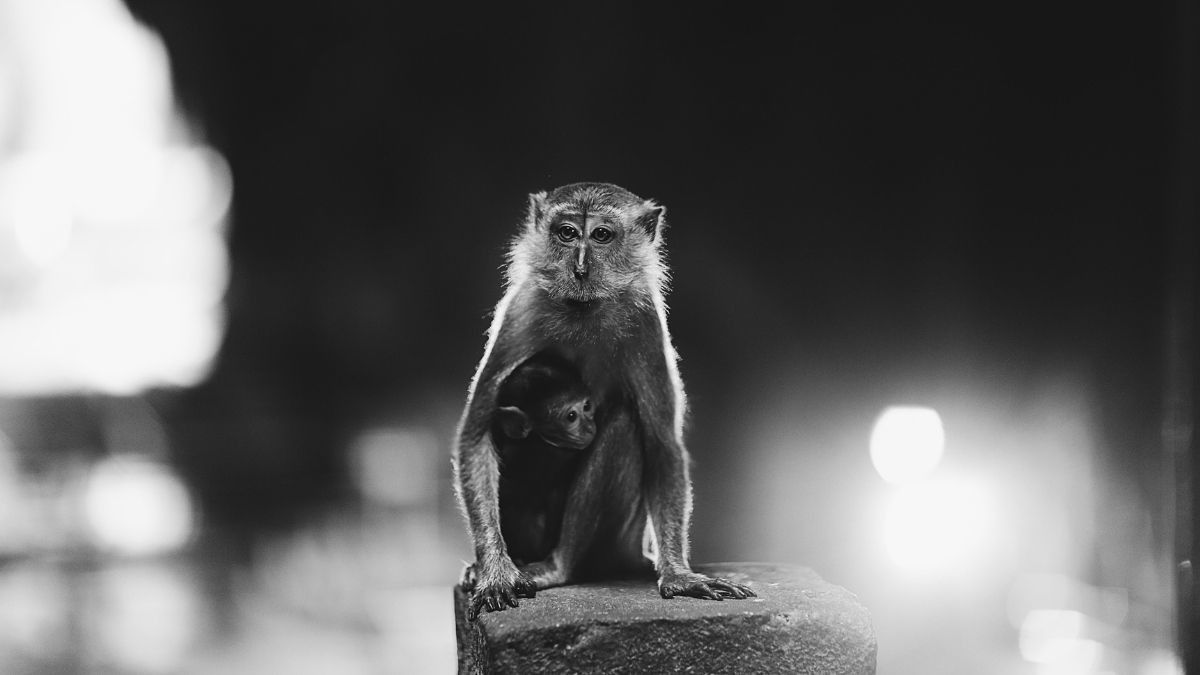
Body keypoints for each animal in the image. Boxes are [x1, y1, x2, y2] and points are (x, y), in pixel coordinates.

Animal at [453, 182, 755, 620]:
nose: (580, 268)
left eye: (601, 235)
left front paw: (679, 575)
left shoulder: (645, 319)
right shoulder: (522, 308)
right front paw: (494, 571)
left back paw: (560, 566)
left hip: (614, 542)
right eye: (567, 233)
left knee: (625, 427)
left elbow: (662, 446)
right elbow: (477, 434)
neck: (584, 307)